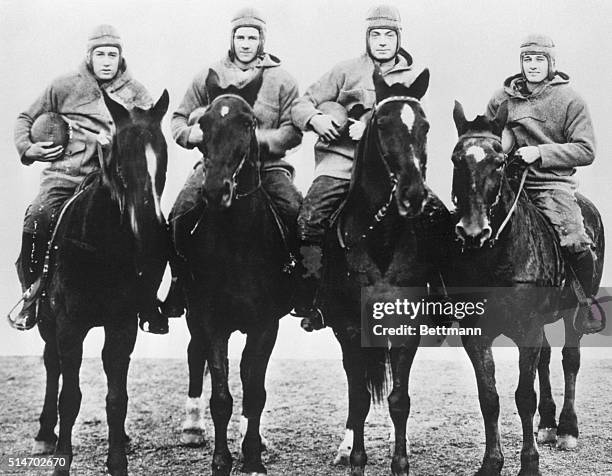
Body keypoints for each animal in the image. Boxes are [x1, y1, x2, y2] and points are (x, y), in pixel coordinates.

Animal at [29, 90, 170, 476]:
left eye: (163, 161)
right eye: (120, 162)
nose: (151, 230)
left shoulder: (121, 325)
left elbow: (116, 397)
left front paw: (117, 460)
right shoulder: (68, 325)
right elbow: (69, 396)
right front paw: (62, 462)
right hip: (48, 323)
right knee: (51, 366)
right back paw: (45, 433)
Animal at [172, 69, 296, 476]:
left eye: (247, 122)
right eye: (205, 123)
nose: (215, 192)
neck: (238, 244)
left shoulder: (265, 325)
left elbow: (254, 392)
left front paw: (253, 456)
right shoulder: (211, 320)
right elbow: (222, 396)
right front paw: (221, 460)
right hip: (192, 314)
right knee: (194, 356)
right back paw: (192, 429)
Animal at [322, 68, 452, 476]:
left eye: (425, 125)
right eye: (381, 123)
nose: (413, 195)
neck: (378, 236)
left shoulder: (406, 327)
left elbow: (398, 399)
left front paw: (400, 463)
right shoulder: (350, 329)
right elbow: (360, 399)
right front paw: (357, 461)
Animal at [448, 100, 604, 476]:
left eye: (499, 160)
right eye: (456, 159)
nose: (472, 231)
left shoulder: (528, 327)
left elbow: (524, 397)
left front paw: (529, 464)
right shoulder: (477, 334)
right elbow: (489, 397)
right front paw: (492, 462)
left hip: (572, 315)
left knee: (570, 359)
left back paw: (567, 429)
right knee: (545, 360)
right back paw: (547, 424)